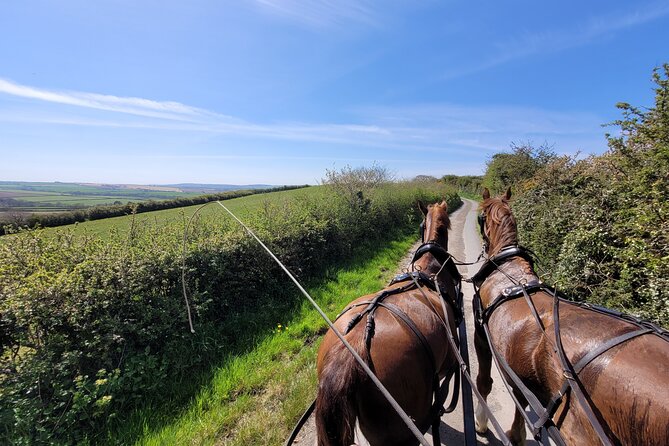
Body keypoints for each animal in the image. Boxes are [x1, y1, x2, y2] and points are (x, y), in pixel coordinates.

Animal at [470, 189, 668, 446]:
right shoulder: (524, 376)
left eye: (481, 216)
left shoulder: (481, 336)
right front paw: (515, 432)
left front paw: (482, 423)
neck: (509, 270)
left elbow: (484, 384)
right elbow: (521, 402)